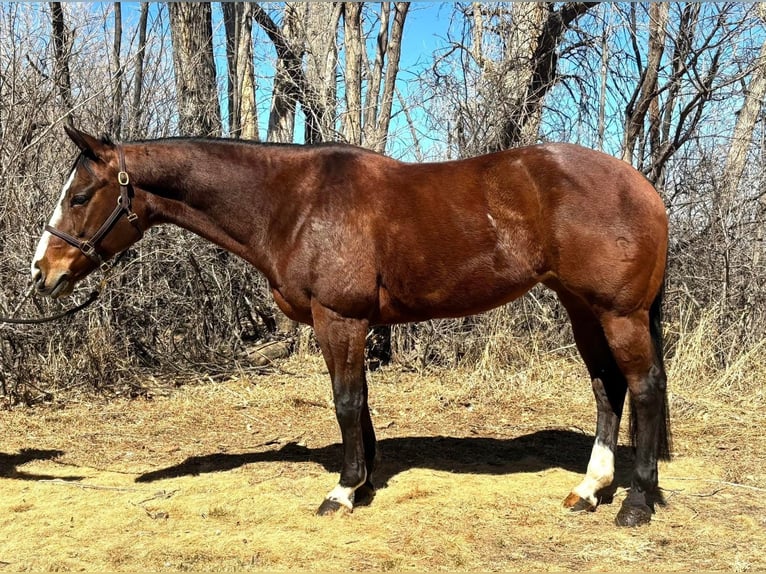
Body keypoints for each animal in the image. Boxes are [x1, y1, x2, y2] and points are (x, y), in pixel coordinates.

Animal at [31, 125, 670, 527]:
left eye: (81, 195)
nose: (43, 271)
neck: (292, 203)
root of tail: (642, 186)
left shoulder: (337, 318)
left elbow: (344, 401)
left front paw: (341, 491)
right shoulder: (351, 323)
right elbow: (358, 402)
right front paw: (363, 481)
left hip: (618, 313)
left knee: (642, 389)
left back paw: (634, 503)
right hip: (581, 307)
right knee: (607, 388)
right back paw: (590, 489)